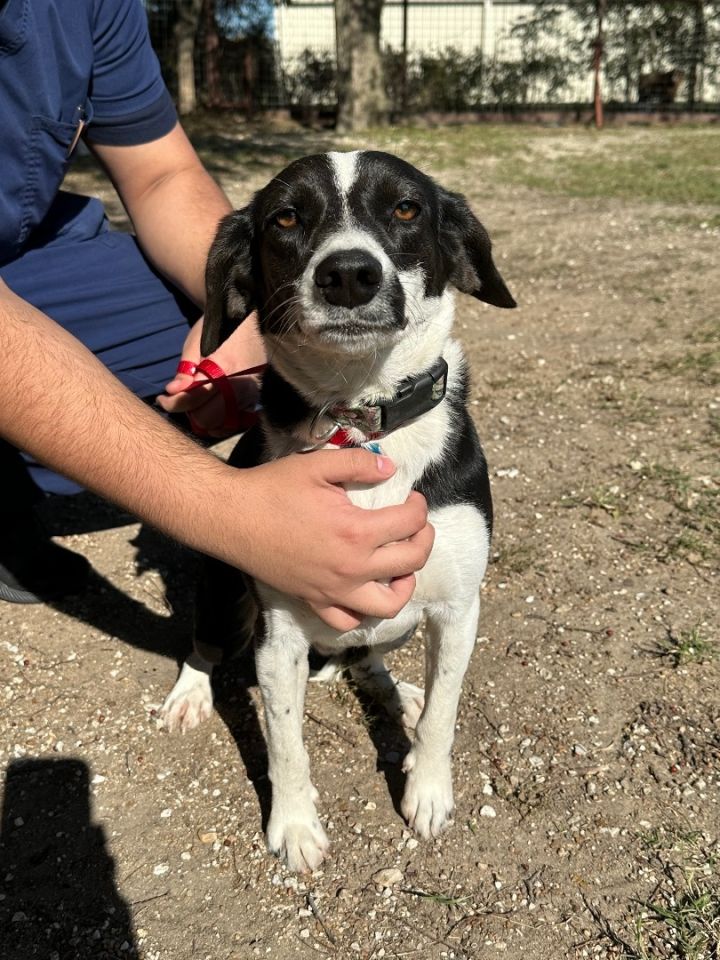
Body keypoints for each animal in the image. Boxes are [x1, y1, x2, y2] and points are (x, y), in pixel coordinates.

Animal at [160, 148, 516, 872]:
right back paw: (190, 693)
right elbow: (285, 743)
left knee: (367, 658)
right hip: (222, 592)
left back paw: (392, 689)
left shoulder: (458, 609)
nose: (348, 274)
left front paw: (427, 791)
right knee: (205, 643)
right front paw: (294, 826)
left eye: (406, 208)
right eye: (285, 218)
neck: (361, 417)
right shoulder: (278, 638)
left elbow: (442, 716)